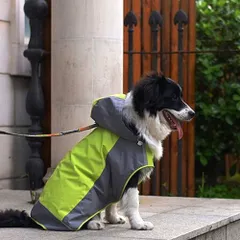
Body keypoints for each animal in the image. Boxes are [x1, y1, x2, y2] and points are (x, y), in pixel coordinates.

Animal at [0, 71, 195, 231]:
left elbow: (113, 202)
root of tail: (35, 220)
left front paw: (113, 218)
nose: (193, 113)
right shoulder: (127, 172)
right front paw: (139, 224)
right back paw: (93, 223)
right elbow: (133, 202)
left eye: (180, 95)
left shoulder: (115, 177)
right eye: (173, 97)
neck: (134, 127)